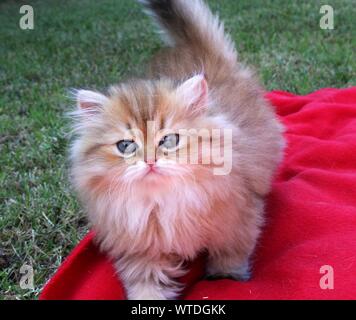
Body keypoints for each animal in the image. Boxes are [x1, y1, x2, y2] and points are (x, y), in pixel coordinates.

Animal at [71, 0, 286, 300]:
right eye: (126, 146)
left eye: (169, 140)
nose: (150, 161)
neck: (163, 202)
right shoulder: (140, 251)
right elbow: (147, 287)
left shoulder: (238, 220)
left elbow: (230, 254)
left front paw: (226, 278)